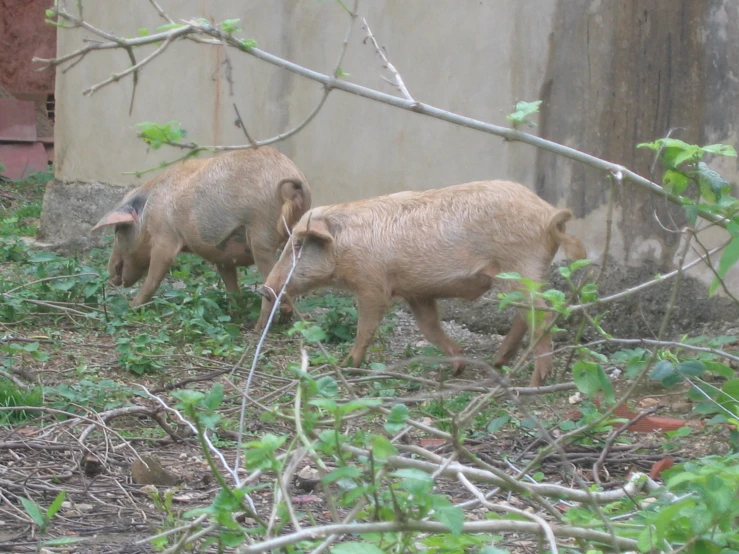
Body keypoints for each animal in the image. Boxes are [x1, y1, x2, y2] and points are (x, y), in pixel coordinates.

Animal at [91, 147, 310, 328]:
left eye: (118, 230)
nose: (110, 276)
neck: (148, 213)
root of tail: (294, 180)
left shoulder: (165, 236)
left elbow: (154, 276)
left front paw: (131, 307)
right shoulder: (223, 257)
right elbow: (231, 287)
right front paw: (234, 314)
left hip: (262, 234)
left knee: (271, 286)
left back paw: (258, 329)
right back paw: (288, 319)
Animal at [264, 180, 588, 384]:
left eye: (298, 245)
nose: (265, 288)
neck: (345, 245)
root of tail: (550, 214)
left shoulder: (372, 284)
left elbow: (365, 328)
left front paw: (347, 366)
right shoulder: (415, 292)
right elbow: (429, 327)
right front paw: (457, 367)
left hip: (520, 267)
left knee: (541, 316)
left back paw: (535, 382)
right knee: (528, 315)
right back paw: (498, 363)